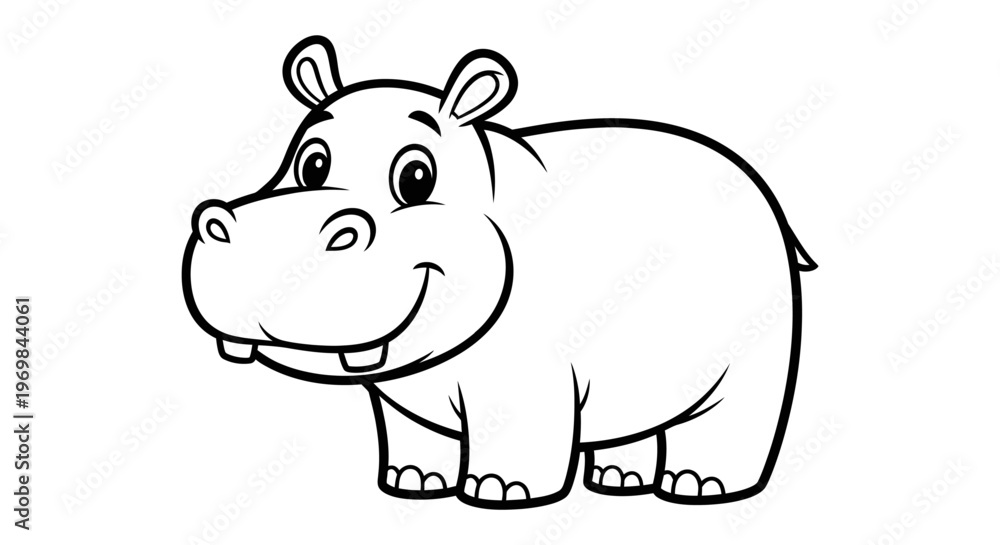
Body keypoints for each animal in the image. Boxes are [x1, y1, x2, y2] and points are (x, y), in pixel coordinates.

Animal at [181, 35, 815, 509]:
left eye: (416, 177)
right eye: (311, 163)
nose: (219, 221)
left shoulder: (533, 380)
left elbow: (519, 435)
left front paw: (500, 493)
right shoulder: (398, 401)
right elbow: (410, 436)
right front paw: (411, 484)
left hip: (750, 362)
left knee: (733, 418)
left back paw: (700, 487)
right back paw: (618, 481)